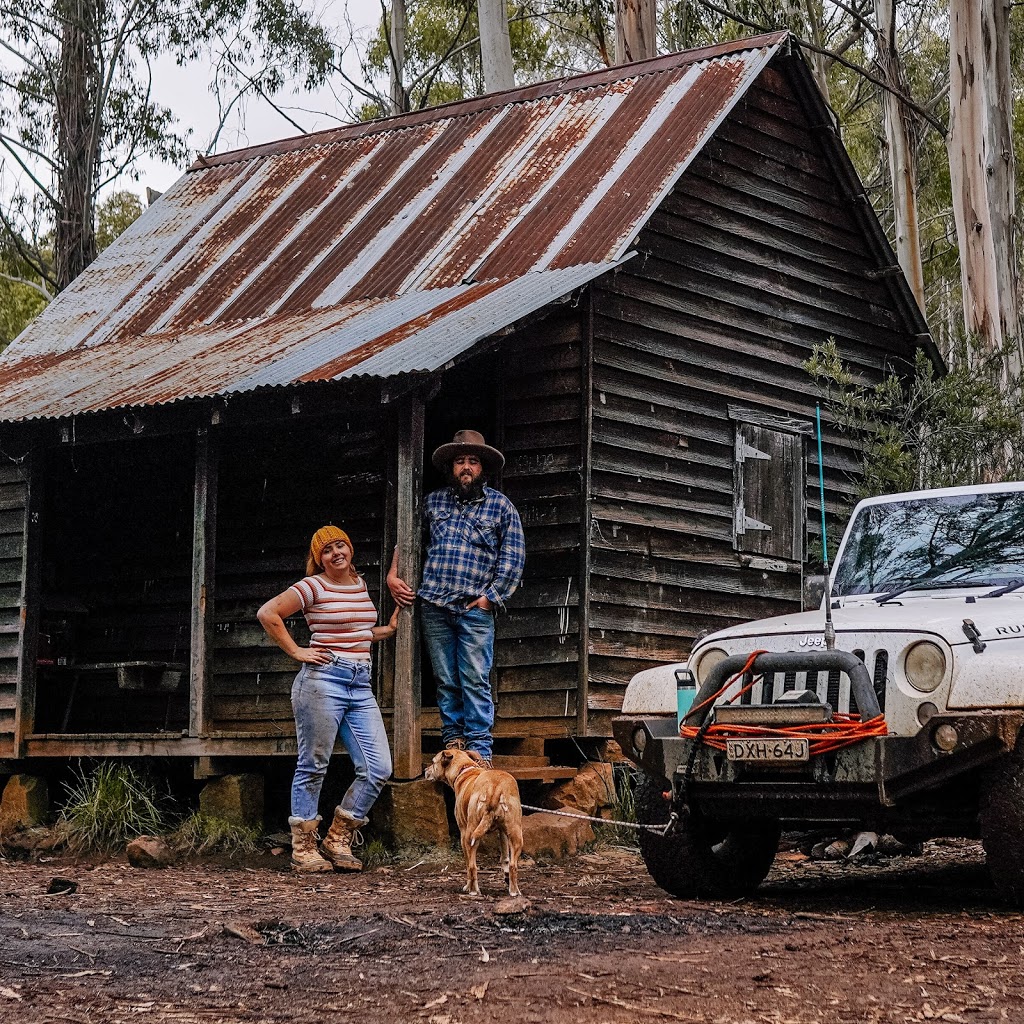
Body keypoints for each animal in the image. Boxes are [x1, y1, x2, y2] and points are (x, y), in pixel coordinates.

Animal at [423, 745, 524, 897]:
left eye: (433, 762)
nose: (425, 770)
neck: (464, 769)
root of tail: (494, 788)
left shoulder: (463, 832)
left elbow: (467, 864)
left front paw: (467, 886)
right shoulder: (503, 832)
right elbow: (505, 857)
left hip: (470, 834)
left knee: (472, 866)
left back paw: (473, 890)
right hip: (516, 833)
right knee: (513, 865)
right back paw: (514, 891)